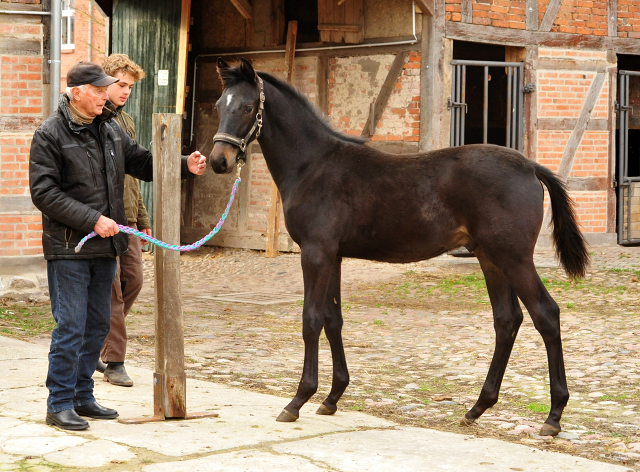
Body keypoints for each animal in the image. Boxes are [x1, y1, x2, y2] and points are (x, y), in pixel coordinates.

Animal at [210, 57, 592, 436]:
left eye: (247, 107)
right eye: (218, 106)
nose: (218, 161)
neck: (313, 166)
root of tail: (530, 166)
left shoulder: (315, 253)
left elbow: (311, 319)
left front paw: (297, 400)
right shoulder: (334, 255)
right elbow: (334, 320)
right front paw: (332, 398)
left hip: (514, 257)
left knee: (546, 314)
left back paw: (553, 416)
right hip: (490, 258)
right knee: (507, 320)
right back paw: (477, 408)